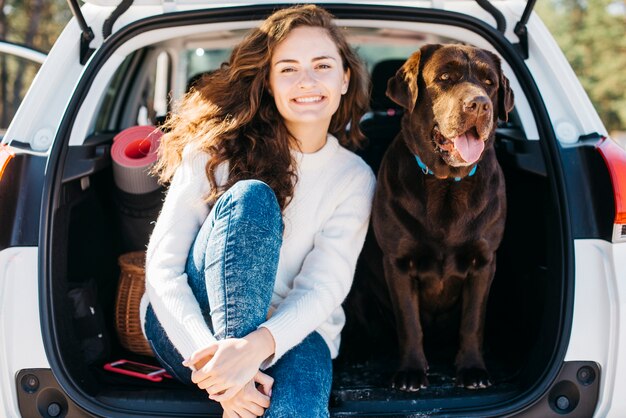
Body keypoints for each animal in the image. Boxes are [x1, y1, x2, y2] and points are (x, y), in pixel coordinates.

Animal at [370, 45, 512, 392]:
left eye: (489, 82)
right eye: (445, 78)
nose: (479, 104)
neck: (447, 184)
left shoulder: (484, 263)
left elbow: (473, 321)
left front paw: (472, 369)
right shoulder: (397, 263)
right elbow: (409, 322)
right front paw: (410, 371)